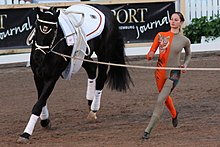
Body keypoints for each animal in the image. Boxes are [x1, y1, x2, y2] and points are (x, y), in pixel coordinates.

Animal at [16, 4, 132, 143]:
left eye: (53, 30)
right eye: (36, 28)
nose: (38, 57)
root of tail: (106, 10)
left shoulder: (52, 77)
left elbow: (39, 103)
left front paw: (25, 134)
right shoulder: (37, 75)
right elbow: (41, 100)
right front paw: (45, 121)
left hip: (104, 53)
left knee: (101, 78)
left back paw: (93, 110)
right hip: (82, 56)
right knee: (92, 68)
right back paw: (90, 101)